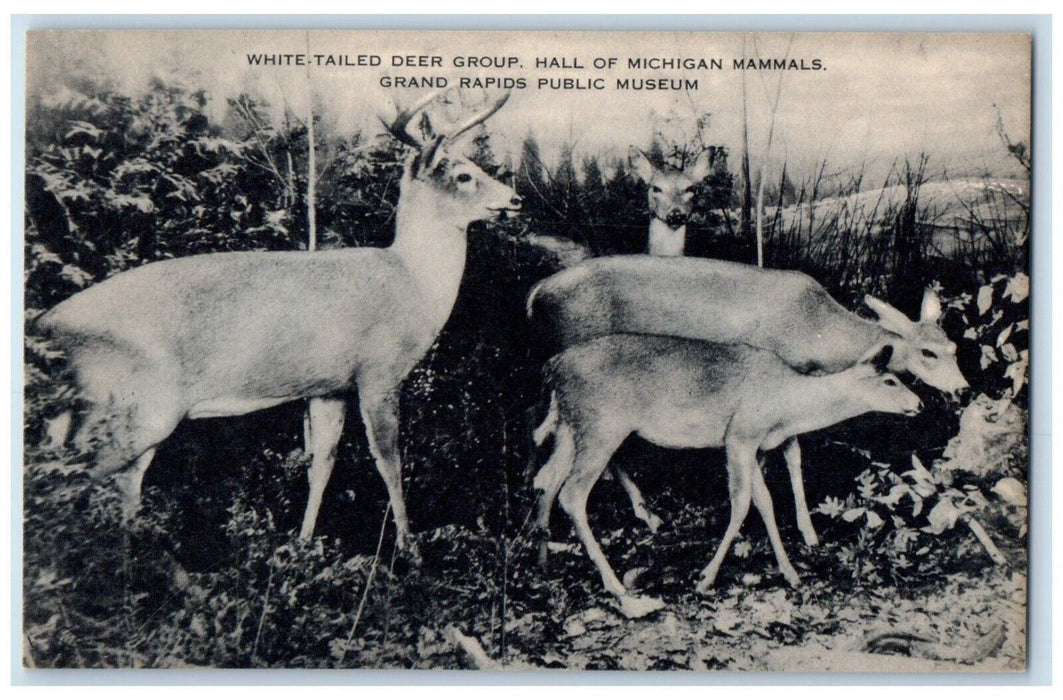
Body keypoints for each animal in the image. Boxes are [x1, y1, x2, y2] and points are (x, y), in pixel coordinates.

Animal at [33, 90, 521, 555]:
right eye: (463, 175)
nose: (515, 199)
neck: (413, 282)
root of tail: (46, 324)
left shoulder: (329, 385)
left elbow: (322, 464)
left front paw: (303, 545)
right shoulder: (378, 372)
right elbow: (390, 462)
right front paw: (409, 551)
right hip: (133, 407)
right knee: (75, 480)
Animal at [527, 254, 968, 547]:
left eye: (952, 346)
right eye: (927, 353)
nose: (963, 389)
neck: (815, 332)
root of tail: (534, 295)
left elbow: (792, 455)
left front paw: (806, 530)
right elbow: (787, 454)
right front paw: (793, 529)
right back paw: (640, 513)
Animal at [532, 336, 921, 618]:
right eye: (890, 380)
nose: (919, 403)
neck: (786, 406)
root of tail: (553, 367)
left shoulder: (753, 443)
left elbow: (764, 502)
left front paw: (790, 572)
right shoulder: (739, 434)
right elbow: (742, 503)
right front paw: (706, 577)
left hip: (570, 426)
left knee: (546, 479)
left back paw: (542, 563)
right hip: (602, 424)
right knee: (572, 493)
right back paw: (615, 584)